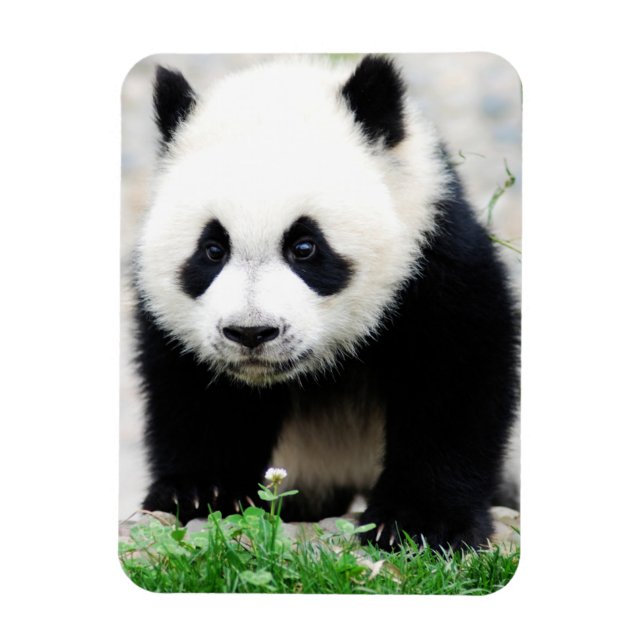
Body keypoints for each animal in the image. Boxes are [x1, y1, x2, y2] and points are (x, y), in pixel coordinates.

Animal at [134, 55, 520, 550]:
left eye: (305, 246)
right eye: (213, 249)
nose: (251, 333)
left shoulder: (433, 252)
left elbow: (454, 375)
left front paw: (419, 522)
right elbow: (192, 389)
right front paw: (201, 491)